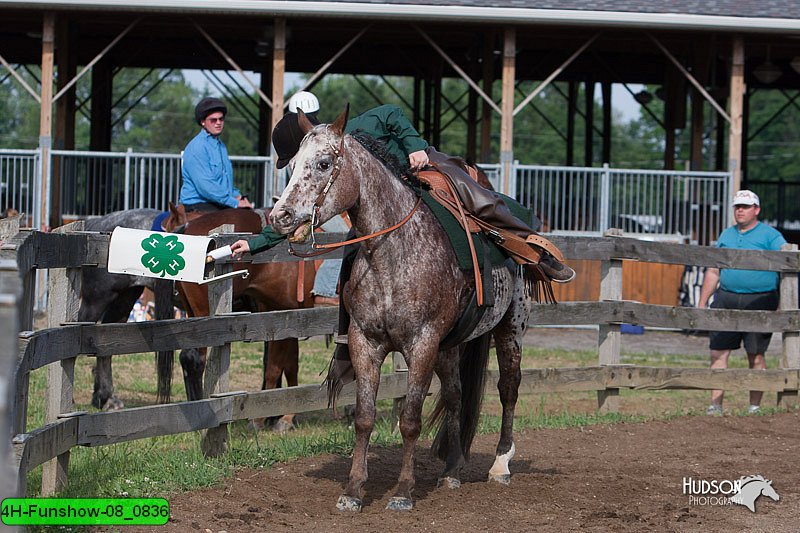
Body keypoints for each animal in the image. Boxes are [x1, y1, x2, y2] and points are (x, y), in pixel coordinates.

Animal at [163, 204, 316, 432]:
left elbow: (283, 364)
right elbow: (281, 365)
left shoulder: (285, 316)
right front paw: (282, 416)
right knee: (194, 357)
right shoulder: (284, 315)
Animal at [270, 106, 536, 510]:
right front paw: (353, 490)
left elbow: (410, 419)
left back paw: (501, 464)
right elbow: (365, 417)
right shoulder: (365, 343)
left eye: (323, 163)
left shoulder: (422, 344)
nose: (280, 216)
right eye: (294, 163)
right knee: (456, 396)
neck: (392, 255)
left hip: (510, 327)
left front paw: (403, 492)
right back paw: (452, 469)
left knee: (508, 387)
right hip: (450, 346)